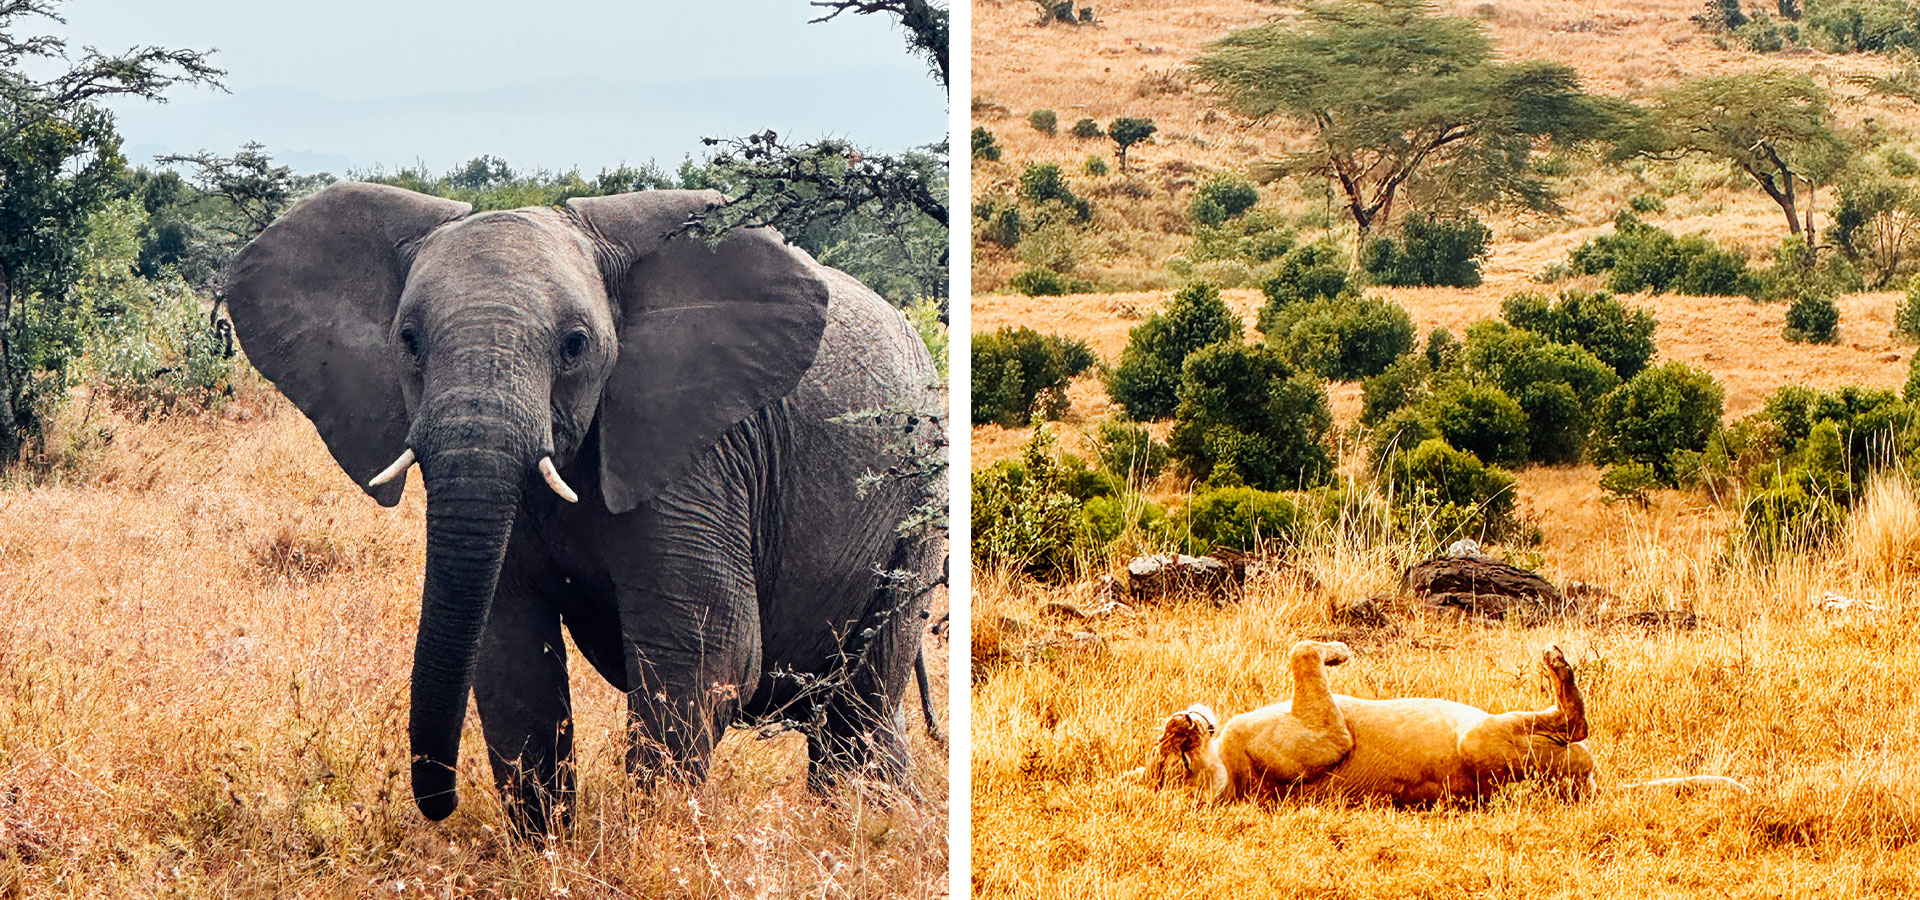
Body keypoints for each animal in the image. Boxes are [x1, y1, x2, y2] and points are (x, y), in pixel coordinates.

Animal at [225, 181, 945, 833]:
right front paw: (546, 854)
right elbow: (510, 653)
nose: (440, 804)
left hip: (916, 507)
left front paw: (653, 844)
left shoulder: (699, 457)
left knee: (860, 699)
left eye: (574, 345)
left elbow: (703, 654)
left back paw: (865, 825)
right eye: (407, 340)